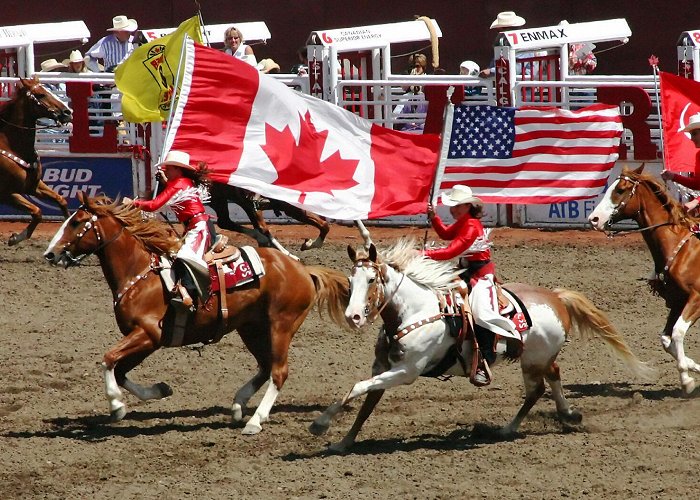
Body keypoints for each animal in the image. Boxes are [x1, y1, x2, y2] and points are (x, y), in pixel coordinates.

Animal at [0, 75, 72, 245]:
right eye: (40, 95)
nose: (67, 112)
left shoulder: (33, 187)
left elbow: (61, 200)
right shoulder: (7, 194)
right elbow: (37, 211)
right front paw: (16, 238)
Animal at [43, 191, 350, 434]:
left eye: (77, 222)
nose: (50, 254)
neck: (139, 274)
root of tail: (303, 270)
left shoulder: (148, 333)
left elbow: (108, 359)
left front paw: (117, 406)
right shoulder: (146, 339)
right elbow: (120, 371)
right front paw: (160, 390)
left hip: (281, 325)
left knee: (278, 371)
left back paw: (256, 420)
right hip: (251, 328)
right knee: (265, 366)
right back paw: (238, 405)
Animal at [209, 181, 374, 258]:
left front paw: (368, 243)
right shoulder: (293, 209)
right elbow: (325, 226)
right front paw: (308, 244)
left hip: (223, 199)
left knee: (226, 221)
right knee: (260, 227)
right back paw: (286, 253)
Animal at [308, 239, 652, 454]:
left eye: (371, 281)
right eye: (350, 282)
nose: (353, 316)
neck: (415, 311)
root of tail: (556, 298)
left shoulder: (406, 372)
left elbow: (356, 388)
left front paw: (320, 425)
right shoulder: (384, 367)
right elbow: (366, 400)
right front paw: (343, 442)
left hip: (533, 359)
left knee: (539, 387)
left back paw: (516, 427)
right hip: (537, 358)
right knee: (550, 378)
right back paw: (559, 416)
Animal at [588, 166, 700, 396]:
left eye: (620, 190)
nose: (593, 219)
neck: (681, 247)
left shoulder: (696, 298)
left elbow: (677, 333)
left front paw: (686, 380)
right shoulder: (678, 300)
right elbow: (666, 339)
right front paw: (693, 366)